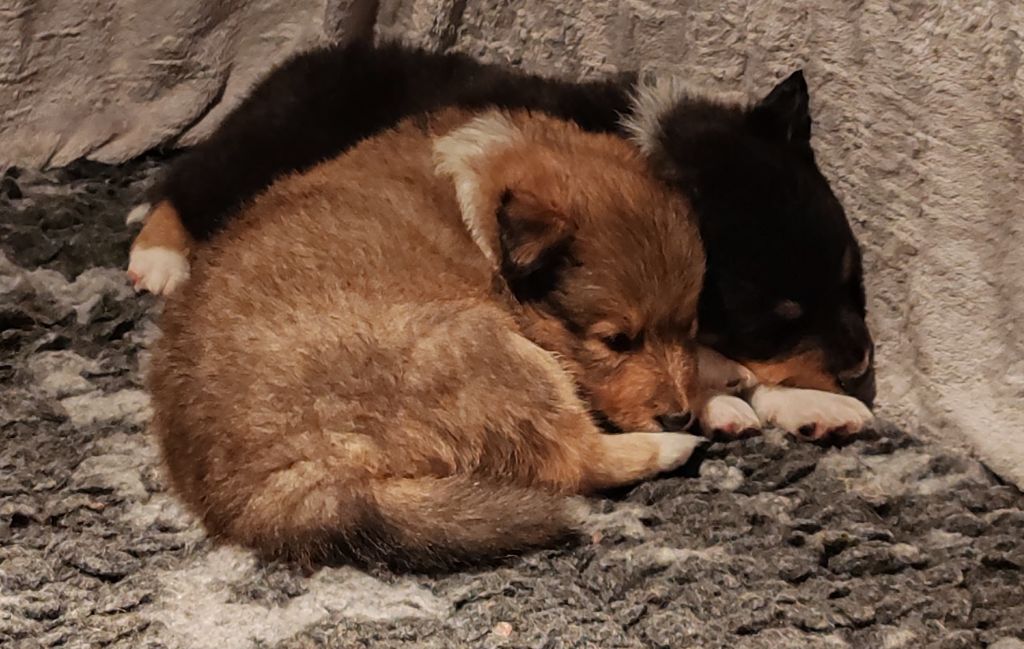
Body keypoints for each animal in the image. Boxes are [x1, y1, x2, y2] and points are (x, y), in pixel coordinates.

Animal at [149, 110, 712, 565]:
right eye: (617, 341)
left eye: (689, 328)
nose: (679, 414)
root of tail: (281, 486)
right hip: (495, 350)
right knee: (581, 460)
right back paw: (676, 446)